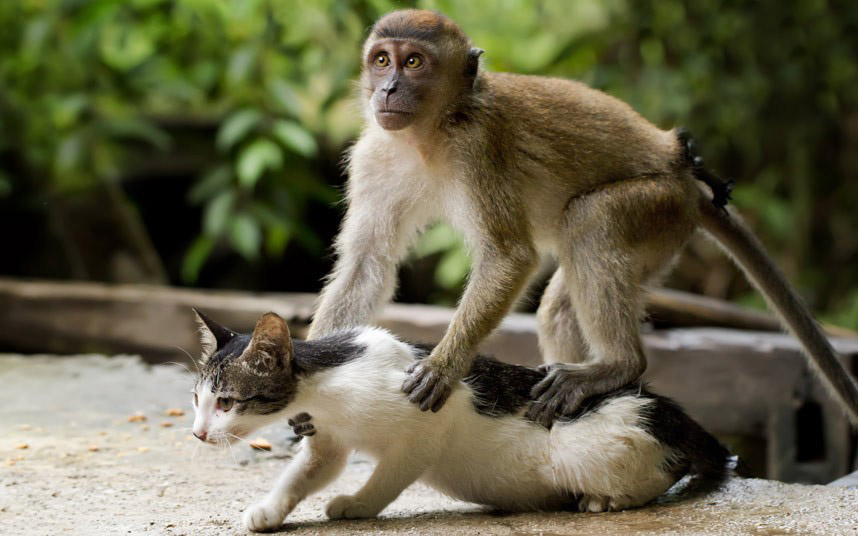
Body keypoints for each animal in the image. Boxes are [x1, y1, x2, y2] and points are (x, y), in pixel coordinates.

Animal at [191, 310, 732, 532]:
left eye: (227, 402)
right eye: (197, 398)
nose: (197, 433)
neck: (329, 387)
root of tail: (667, 408)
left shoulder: (426, 426)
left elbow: (389, 475)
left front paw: (357, 504)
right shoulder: (329, 442)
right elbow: (304, 474)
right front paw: (268, 510)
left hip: (581, 445)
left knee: (665, 471)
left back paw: (602, 499)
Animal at [306, 9, 856, 428]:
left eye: (414, 62)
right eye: (382, 60)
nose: (387, 90)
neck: (432, 132)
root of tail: (688, 183)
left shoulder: (479, 148)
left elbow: (509, 256)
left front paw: (445, 365)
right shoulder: (374, 157)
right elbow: (368, 264)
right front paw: (311, 374)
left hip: (655, 207)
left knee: (591, 221)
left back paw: (617, 366)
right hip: (664, 230)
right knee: (559, 306)